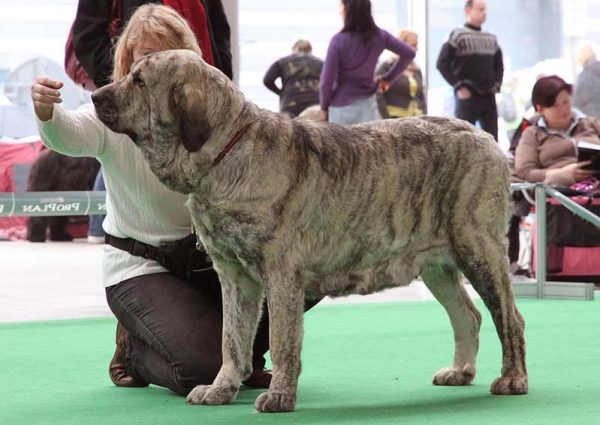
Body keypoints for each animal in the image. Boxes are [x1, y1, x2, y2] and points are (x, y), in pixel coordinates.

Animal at [91, 48, 528, 410]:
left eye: (139, 81)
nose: (96, 96)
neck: (225, 154)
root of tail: (486, 136)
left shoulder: (281, 275)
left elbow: (283, 341)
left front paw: (279, 396)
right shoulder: (233, 277)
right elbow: (231, 339)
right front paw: (221, 389)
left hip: (478, 248)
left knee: (510, 318)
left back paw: (512, 379)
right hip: (437, 266)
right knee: (468, 315)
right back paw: (460, 372)